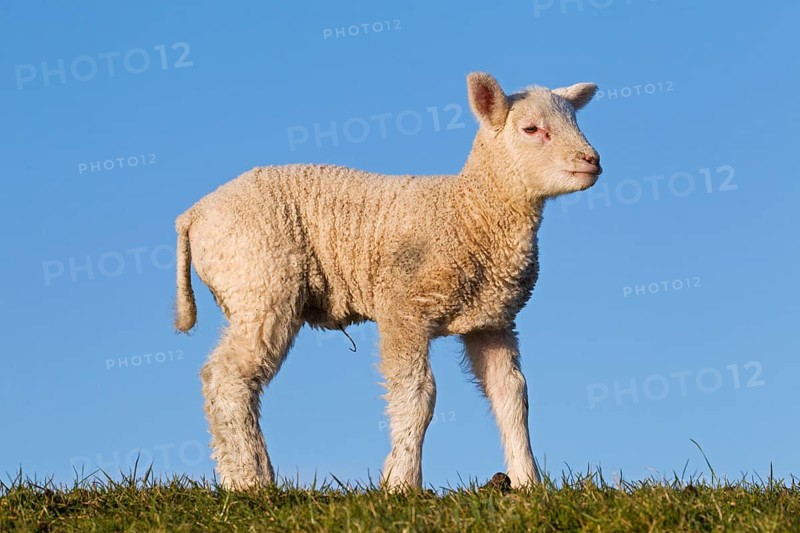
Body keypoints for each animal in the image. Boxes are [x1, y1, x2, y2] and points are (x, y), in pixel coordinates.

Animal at [174, 72, 602, 491]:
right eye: (532, 129)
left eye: (574, 121)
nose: (592, 160)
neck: (471, 209)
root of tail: (194, 214)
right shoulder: (404, 309)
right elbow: (417, 396)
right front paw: (402, 482)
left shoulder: (491, 321)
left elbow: (512, 395)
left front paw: (528, 483)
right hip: (261, 283)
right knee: (228, 378)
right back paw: (249, 480)